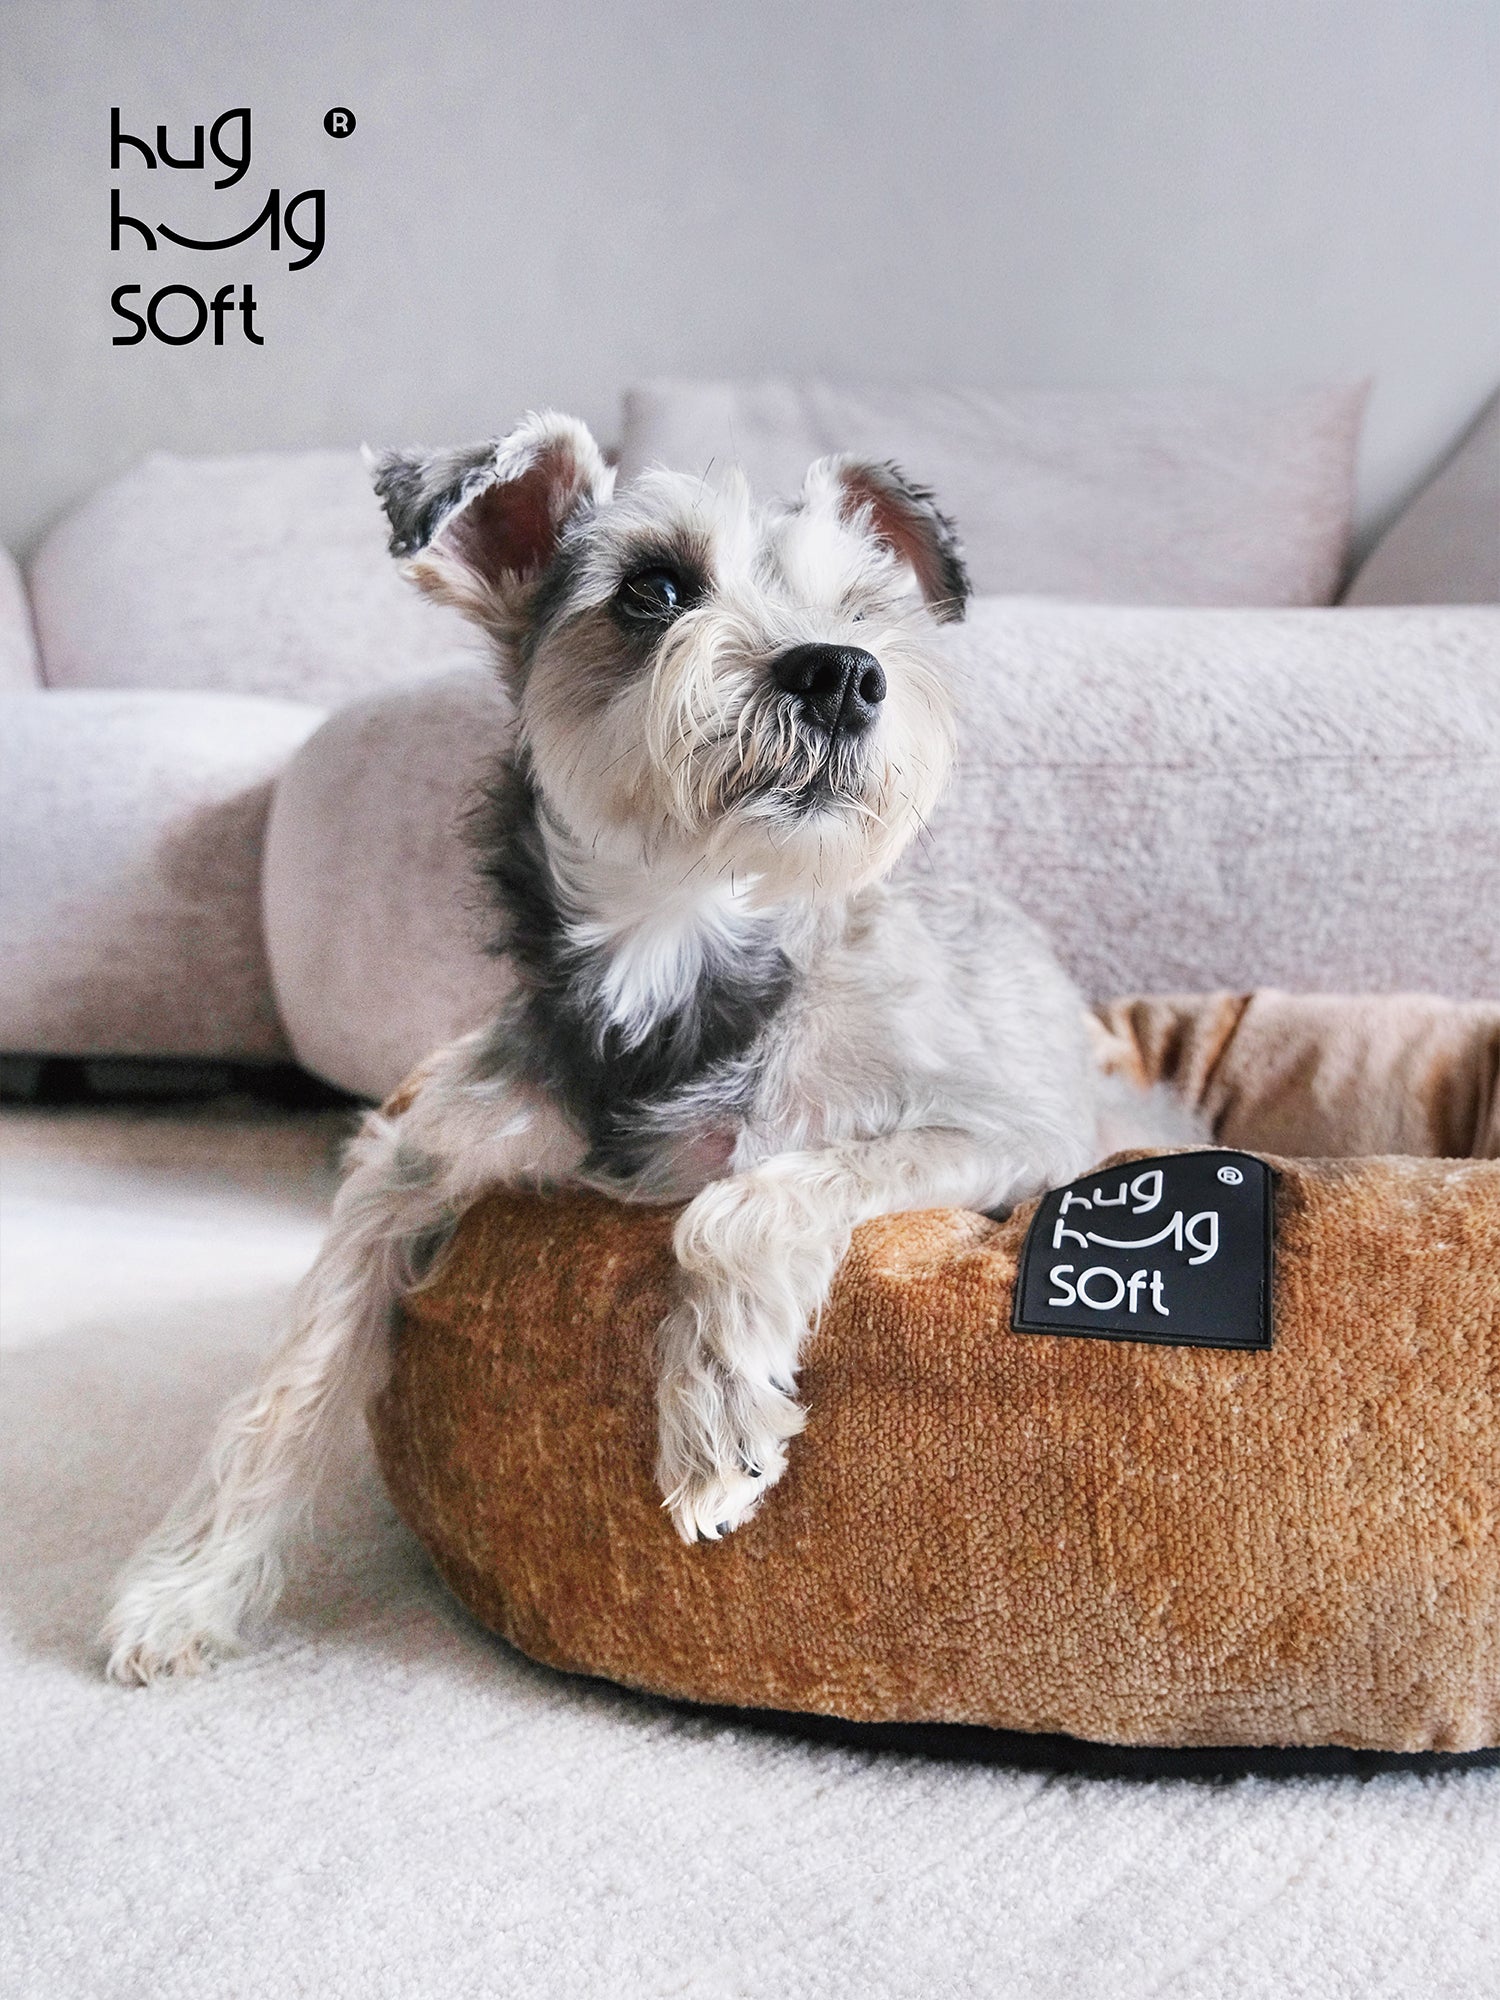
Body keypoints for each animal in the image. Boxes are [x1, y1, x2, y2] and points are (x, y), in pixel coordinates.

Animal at [104, 410, 1185, 1683]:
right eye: (652, 589)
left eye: (863, 608)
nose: (841, 670)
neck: (677, 942)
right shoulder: (413, 1157)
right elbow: (295, 1369)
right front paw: (186, 1588)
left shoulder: (1004, 1133)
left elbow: (739, 1201)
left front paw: (714, 1421)